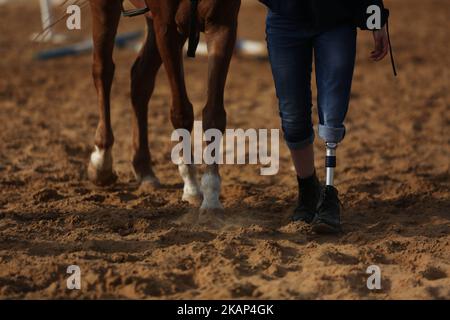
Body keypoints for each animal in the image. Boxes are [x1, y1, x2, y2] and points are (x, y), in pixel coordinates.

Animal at [88, 0, 243, 212]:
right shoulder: (167, 28)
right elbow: (181, 112)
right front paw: (192, 187)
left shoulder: (223, 23)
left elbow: (214, 115)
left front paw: (211, 196)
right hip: (105, 7)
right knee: (102, 70)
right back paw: (102, 161)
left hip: (152, 23)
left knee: (140, 78)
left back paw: (144, 171)